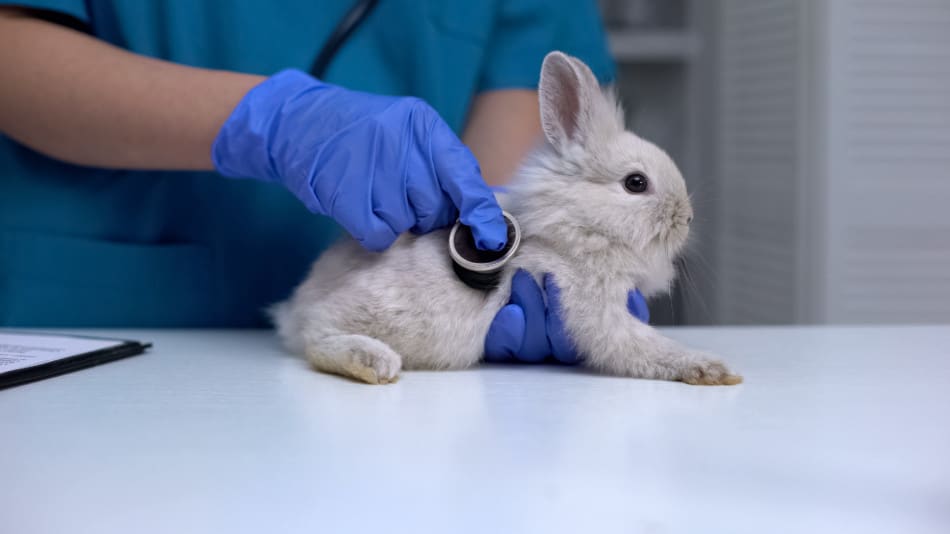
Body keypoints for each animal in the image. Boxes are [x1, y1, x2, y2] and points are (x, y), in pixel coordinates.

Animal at [272, 52, 748, 388]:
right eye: (636, 183)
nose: (687, 218)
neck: (579, 229)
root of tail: (295, 308)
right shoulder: (594, 309)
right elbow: (642, 345)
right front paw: (711, 369)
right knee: (318, 339)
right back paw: (374, 363)